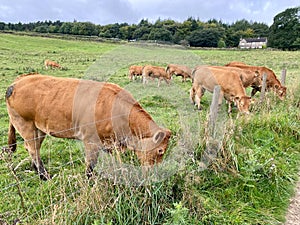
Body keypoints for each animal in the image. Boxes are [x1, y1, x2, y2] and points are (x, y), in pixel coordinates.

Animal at [5, 74, 171, 180]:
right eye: (160, 151)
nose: (155, 173)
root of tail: (18, 81)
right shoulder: (91, 141)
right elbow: (91, 165)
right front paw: (89, 180)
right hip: (25, 124)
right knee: (33, 149)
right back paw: (44, 175)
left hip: (38, 128)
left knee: (33, 148)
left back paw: (36, 169)